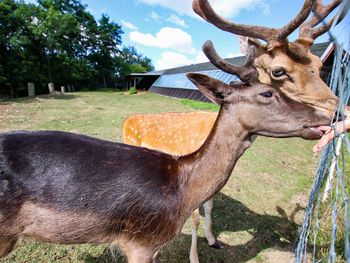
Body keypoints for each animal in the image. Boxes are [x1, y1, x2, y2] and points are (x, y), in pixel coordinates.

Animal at [123, 0, 348, 262]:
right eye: (278, 71)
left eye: (319, 65)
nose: (338, 112)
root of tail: (127, 119)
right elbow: (195, 217)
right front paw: (194, 256)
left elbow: (209, 206)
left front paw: (213, 240)